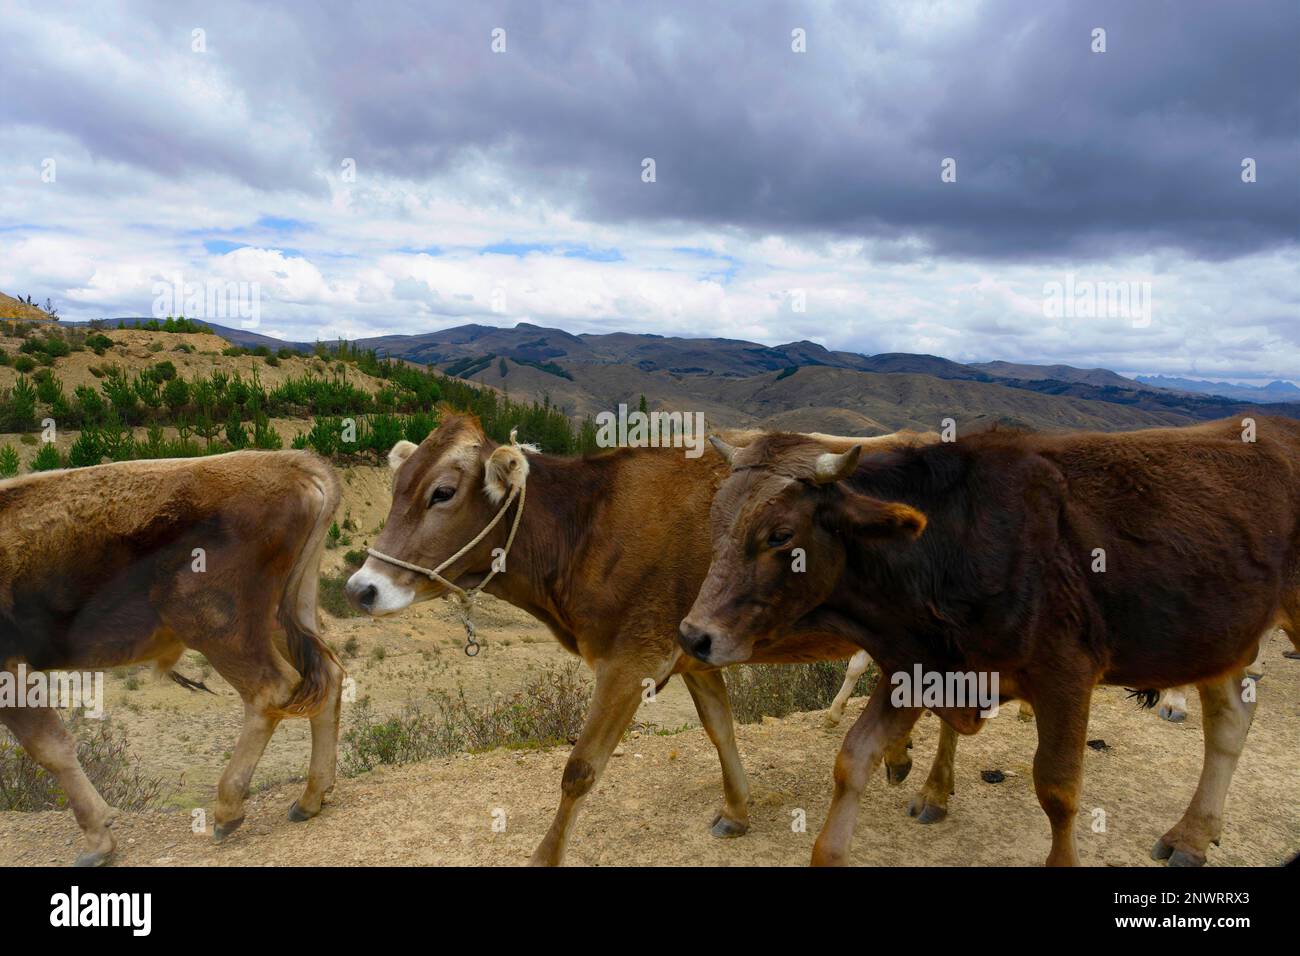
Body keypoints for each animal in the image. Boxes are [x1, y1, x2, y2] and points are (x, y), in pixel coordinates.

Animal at [0, 451, 345, 865]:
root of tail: (290, 463)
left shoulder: (8, 672)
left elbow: (50, 749)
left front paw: (98, 841)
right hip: (285, 616)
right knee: (329, 678)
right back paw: (311, 798)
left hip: (217, 626)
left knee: (270, 691)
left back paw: (228, 808)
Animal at [345, 413, 968, 864]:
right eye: (396, 487)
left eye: (442, 493)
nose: (360, 588)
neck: (587, 527)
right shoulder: (692, 650)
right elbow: (720, 729)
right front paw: (736, 810)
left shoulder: (630, 659)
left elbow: (579, 769)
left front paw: (545, 856)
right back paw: (902, 760)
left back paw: (934, 791)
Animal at [681, 417, 1300, 866]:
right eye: (715, 521)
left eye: (780, 535)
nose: (693, 635)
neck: (951, 541)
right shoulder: (918, 665)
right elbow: (853, 759)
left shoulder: (1066, 676)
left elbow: (1057, 789)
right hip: (1219, 642)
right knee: (1230, 723)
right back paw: (1192, 835)